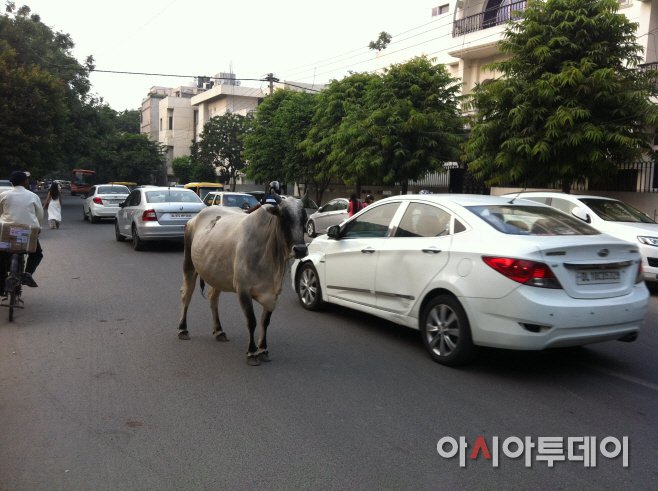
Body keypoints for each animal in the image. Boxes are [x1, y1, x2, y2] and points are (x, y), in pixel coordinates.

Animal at [176, 192, 306, 366]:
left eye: (304, 217)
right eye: (284, 216)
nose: (301, 249)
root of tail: (195, 218)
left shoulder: (273, 294)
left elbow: (265, 321)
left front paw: (263, 349)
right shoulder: (243, 290)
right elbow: (251, 321)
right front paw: (252, 352)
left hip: (216, 273)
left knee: (212, 298)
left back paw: (219, 331)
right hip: (189, 264)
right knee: (186, 295)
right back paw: (183, 329)